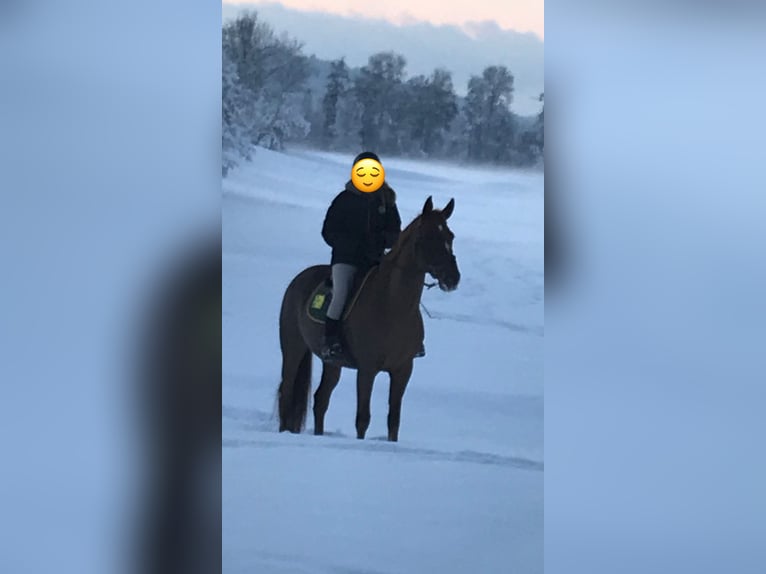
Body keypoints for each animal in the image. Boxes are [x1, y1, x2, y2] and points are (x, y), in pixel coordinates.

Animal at [278, 196, 462, 444]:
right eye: (427, 237)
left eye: (450, 236)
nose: (453, 278)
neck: (393, 307)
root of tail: (298, 280)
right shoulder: (367, 369)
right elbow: (362, 418)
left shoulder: (403, 370)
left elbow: (393, 420)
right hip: (293, 348)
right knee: (287, 392)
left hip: (332, 363)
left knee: (320, 400)